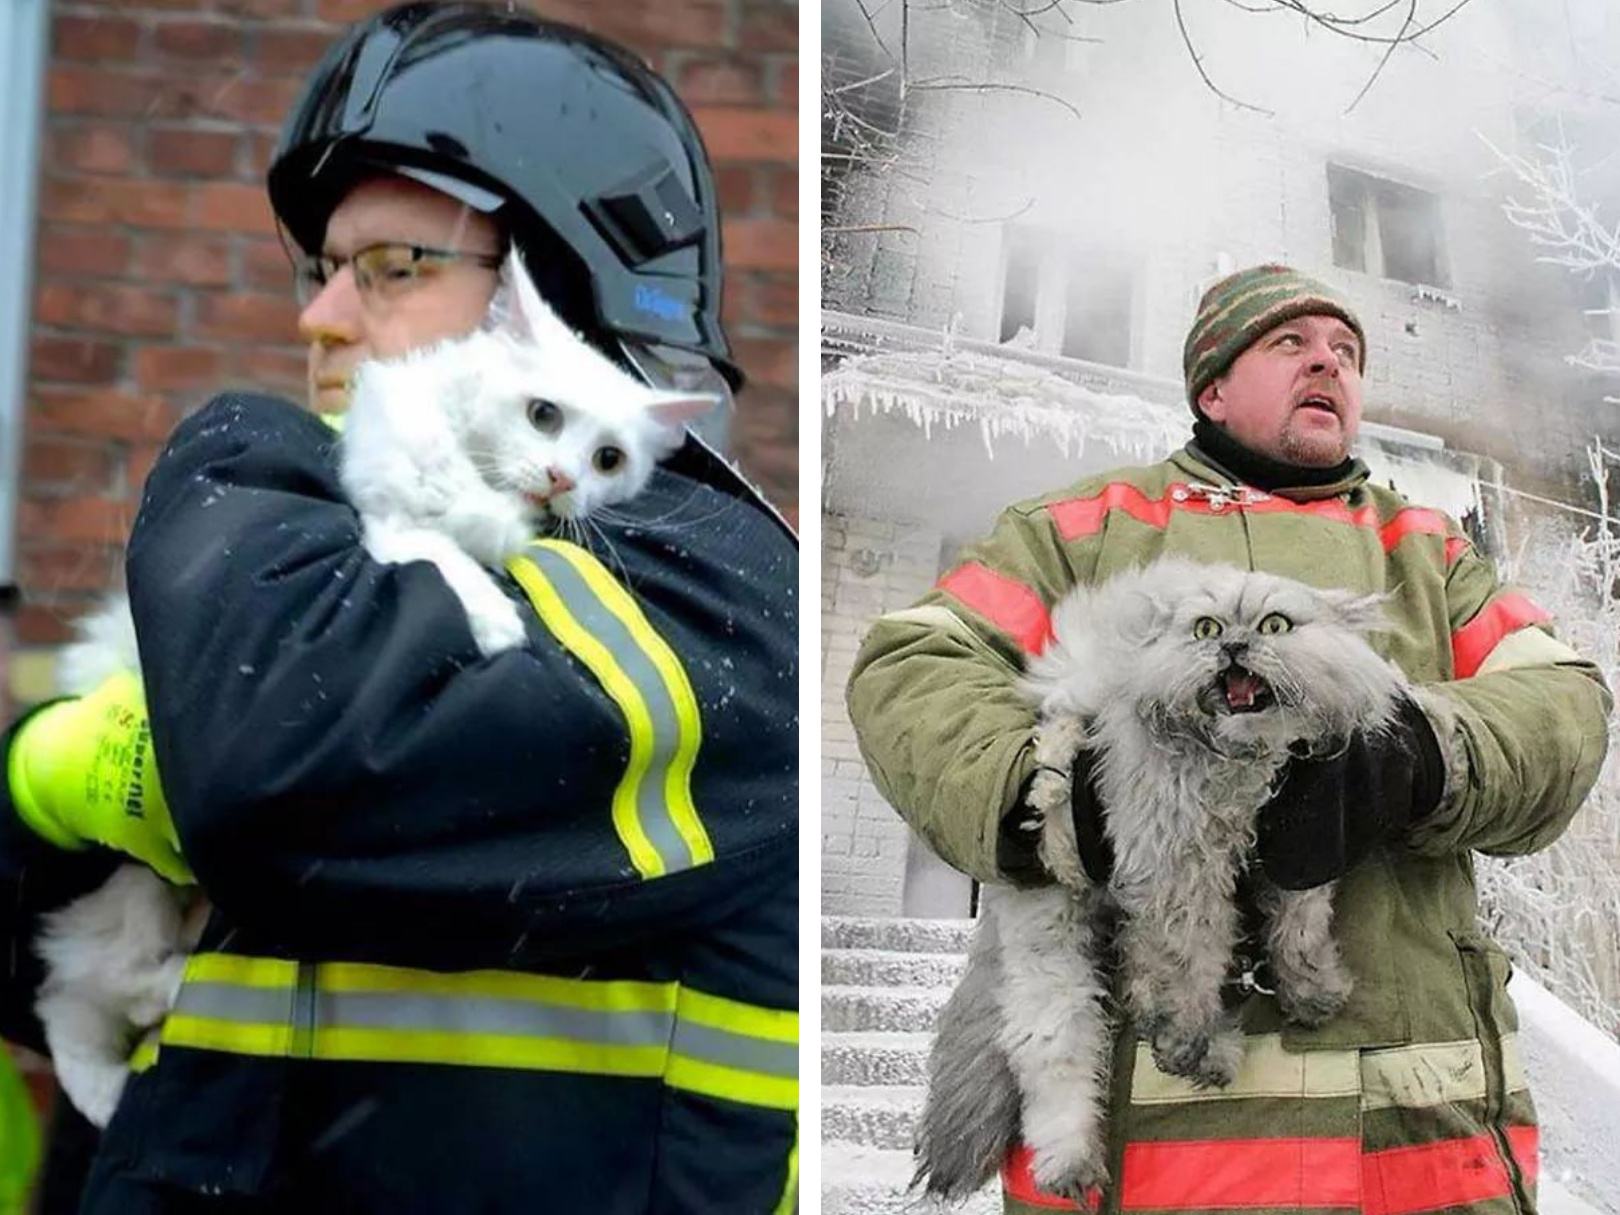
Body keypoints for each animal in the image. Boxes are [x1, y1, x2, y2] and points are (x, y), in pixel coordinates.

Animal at [34, 254, 709, 1134]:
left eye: (609, 461)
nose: (563, 480)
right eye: (543, 415)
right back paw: (138, 1038)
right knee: (88, 990)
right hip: (132, 890)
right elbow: (441, 558)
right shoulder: (388, 520)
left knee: (88, 999)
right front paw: (496, 624)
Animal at [913, 560, 1406, 1198]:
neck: (1240, 765)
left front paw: (1310, 991)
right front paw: (1189, 1037)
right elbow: (1193, 967)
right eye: (1206, 628)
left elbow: (1297, 932)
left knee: (1134, 968)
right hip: (1054, 941)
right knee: (1054, 1051)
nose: (1233, 646)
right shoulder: (1178, 869)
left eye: (1274, 625)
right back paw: (1070, 1161)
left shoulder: (1306, 845)